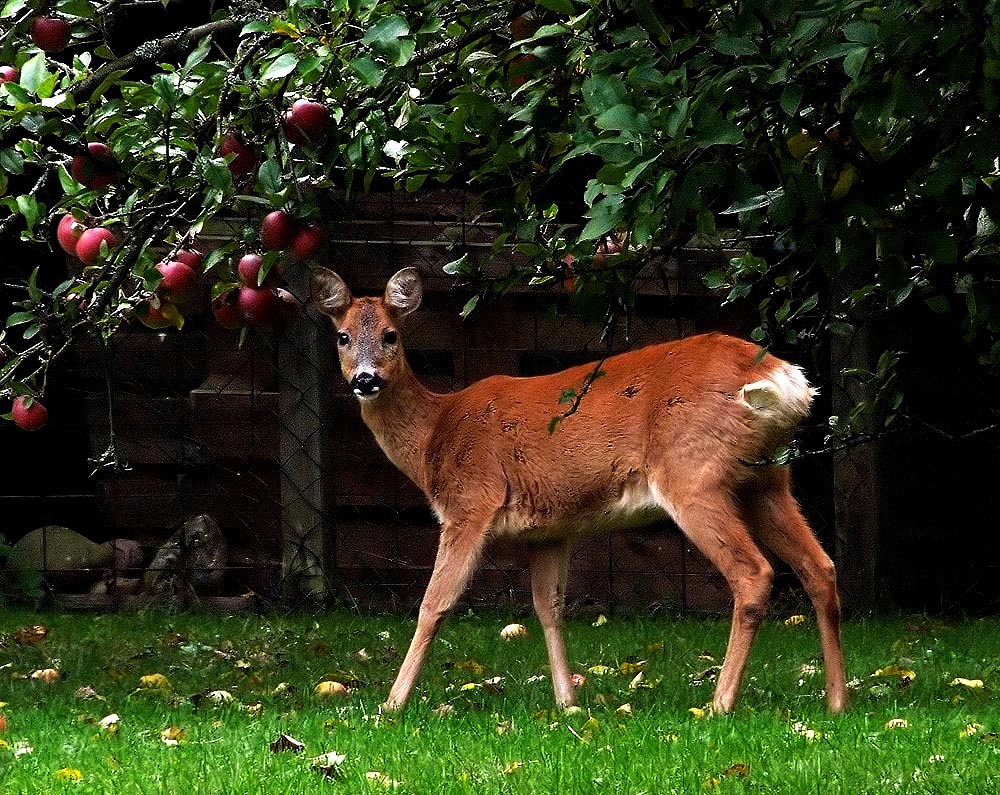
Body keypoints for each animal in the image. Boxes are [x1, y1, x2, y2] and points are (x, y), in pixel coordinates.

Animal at [310, 268, 844, 716]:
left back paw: (719, 704)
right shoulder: (548, 531)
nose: (365, 379)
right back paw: (837, 701)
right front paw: (568, 702)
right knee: (820, 566)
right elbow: (549, 608)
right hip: (767, 479)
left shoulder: (471, 502)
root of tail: (785, 381)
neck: (433, 435)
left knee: (753, 573)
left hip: (693, 473)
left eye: (391, 335)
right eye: (342, 336)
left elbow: (432, 604)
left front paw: (391, 705)